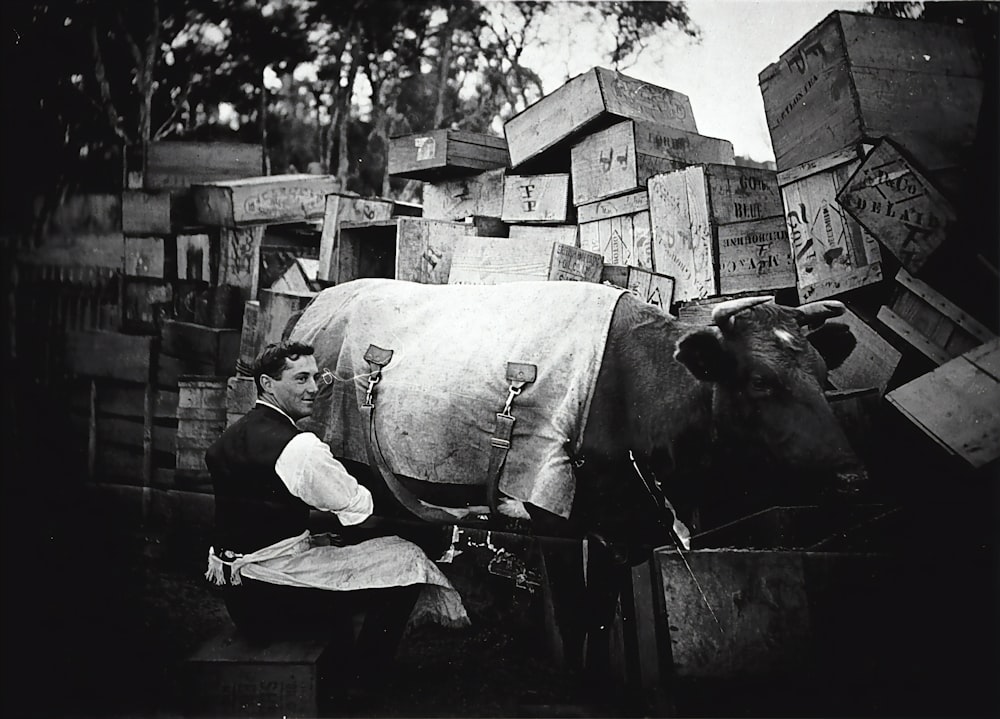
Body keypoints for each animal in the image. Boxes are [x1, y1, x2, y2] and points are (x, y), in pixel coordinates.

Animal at [286, 282, 864, 688]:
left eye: (822, 374)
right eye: (761, 381)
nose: (851, 478)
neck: (634, 389)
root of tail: (318, 306)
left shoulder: (617, 528)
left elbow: (601, 620)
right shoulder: (552, 514)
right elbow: (574, 617)